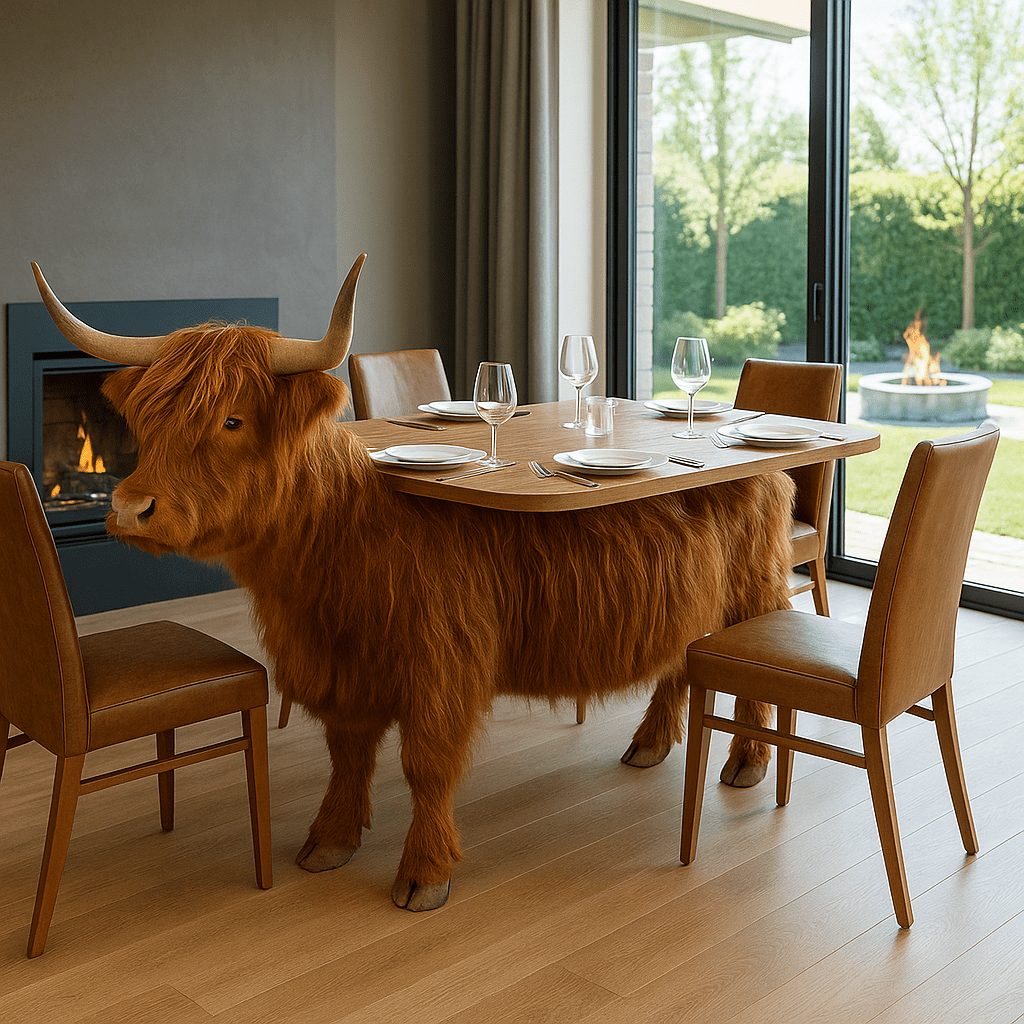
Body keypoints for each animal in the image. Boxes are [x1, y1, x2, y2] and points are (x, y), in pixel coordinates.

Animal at [31, 256, 794, 911]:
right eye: (145, 420)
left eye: (231, 419)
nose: (131, 508)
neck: (333, 550)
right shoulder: (341, 664)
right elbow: (347, 754)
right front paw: (329, 841)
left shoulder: (441, 661)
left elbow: (427, 763)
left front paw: (423, 873)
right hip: (690, 591)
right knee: (680, 663)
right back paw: (650, 745)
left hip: (753, 588)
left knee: (749, 677)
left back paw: (747, 764)